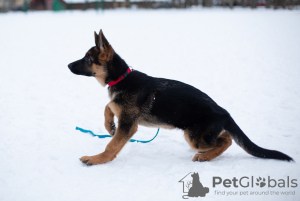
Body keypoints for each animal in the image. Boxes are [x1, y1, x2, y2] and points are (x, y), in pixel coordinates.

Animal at [68, 29, 292, 165]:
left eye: (87, 59)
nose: (68, 65)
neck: (122, 77)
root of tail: (224, 112)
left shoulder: (129, 125)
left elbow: (111, 144)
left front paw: (97, 159)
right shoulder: (123, 114)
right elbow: (109, 106)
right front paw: (109, 126)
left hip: (193, 136)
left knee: (226, 140)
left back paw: (205, 157)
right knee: (225, 138)